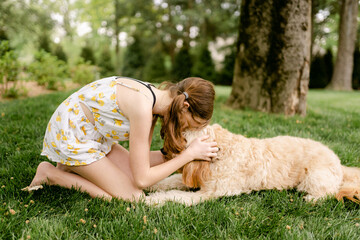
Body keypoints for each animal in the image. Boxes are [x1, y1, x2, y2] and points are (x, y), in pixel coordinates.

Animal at [146, 124, 360, 205]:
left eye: (180, 137)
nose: (163, 151)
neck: (221, 150)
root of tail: (338, 162)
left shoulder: (210, 193)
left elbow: (175, 195)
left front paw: (151, 200)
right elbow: (169, 181)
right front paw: (151, 186)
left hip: (314, 178)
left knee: (328, 193)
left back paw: (311, 198)